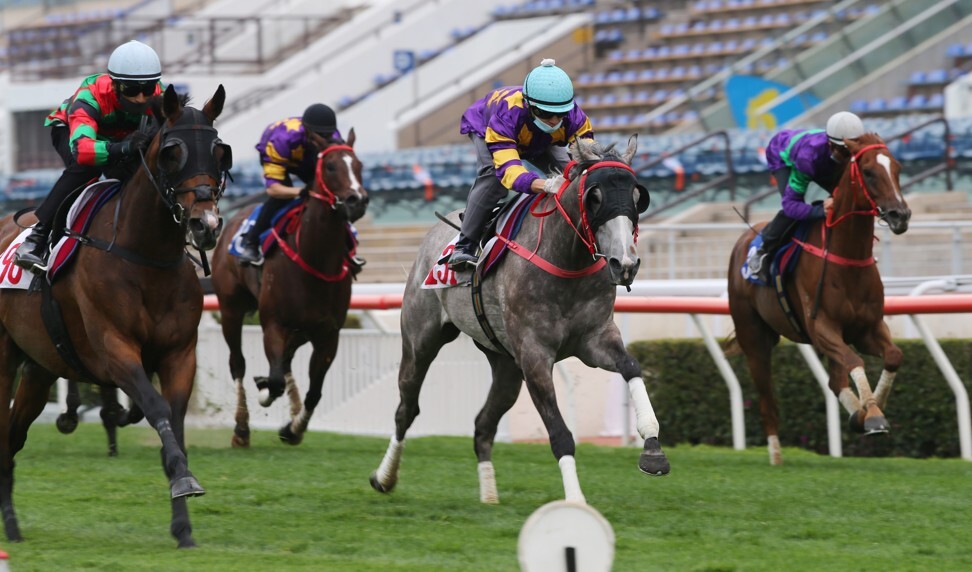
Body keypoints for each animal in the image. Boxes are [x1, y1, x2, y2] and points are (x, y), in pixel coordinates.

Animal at [0, 84, 226, 544]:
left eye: (219, 151)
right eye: (172, 152)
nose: (206, 224)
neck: (145, 254)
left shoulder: (180, 354)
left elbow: (174, 423)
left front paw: (183, 527)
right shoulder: (115, 350)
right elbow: (156, 408)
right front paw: (184, 480)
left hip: (38, 367)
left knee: (12, 437)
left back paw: (12, 526)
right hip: (4, 359)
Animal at [210, 132, 368, 450]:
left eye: (358, 165)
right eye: (330, 166)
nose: (357, 200)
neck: (315, 257)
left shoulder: (328, 334)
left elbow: (314, 391)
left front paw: (293, 429)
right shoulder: (274, 325)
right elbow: (275, 380)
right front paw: (264, 391)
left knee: (285, 362)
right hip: (230, 308)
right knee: (238, 364)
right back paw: (241, 429)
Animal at [370, 136, 668, 502]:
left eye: (638, 196)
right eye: (594, 197)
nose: (624, 263)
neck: (566, 260)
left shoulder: (594, 340)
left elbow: (632, 367)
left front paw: (653, 449)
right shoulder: (534, 356)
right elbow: (560, 434)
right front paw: (575, 502)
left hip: (504, 364)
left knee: (483, 425)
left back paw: (489, 495)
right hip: (420, 340)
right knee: (406, 410)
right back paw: (384, 477)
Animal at [728, 133, 912, 464]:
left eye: (897, 168)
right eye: (868, 172)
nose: (899, 215)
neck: (847, 256)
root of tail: (743, 240)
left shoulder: (866, 329)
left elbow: (893, 355)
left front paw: (870, 412)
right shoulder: (822, 328)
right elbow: (854, 360)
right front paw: (872, 414)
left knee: (835, 381)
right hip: (754, 338)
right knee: (766, 400)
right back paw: (775, 455)